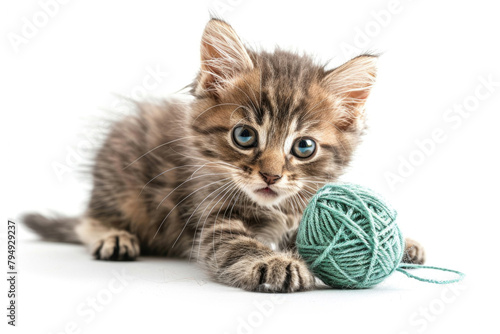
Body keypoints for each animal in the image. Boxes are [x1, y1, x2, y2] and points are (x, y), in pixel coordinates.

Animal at [22, 18, 422, 290]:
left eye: (304, 147)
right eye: (244, 136)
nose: (271, 175)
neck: (276, 209)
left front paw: (402, 245)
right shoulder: (214, 220)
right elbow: (238, 245)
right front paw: (276, 262)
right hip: (120, 178)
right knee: (88, 220)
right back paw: (113, 237)